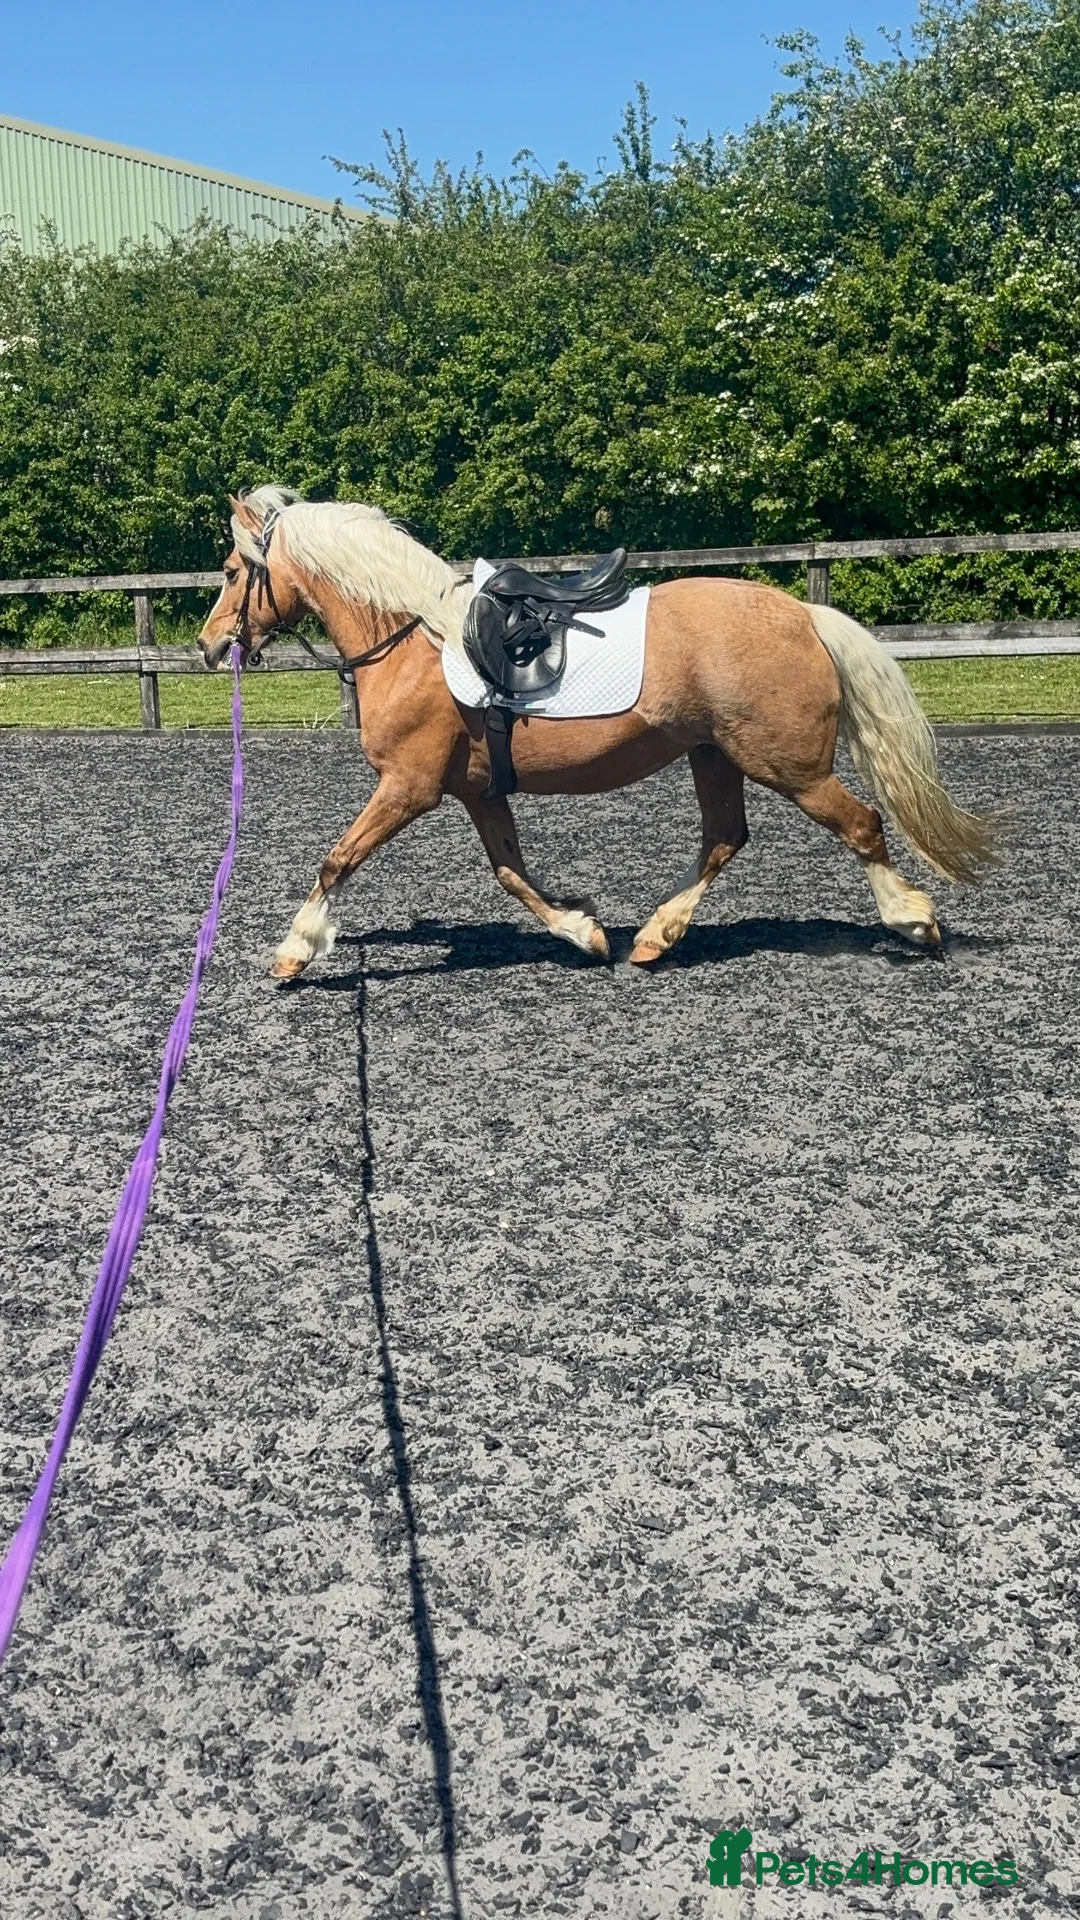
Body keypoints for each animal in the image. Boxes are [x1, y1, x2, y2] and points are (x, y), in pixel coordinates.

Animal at [198, 486, 996, 981]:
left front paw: (295, 951)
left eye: (234, 570)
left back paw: (913, 921)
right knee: (724, 838)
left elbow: (338, 859)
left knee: (861, 825)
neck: (415, 637)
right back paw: (654, 936)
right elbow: (511, 871)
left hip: (789, 766)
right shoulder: (478, 792)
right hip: (713, 755)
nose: (209, 647)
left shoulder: (409, 787)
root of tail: (802, 615)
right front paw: (583, 931)